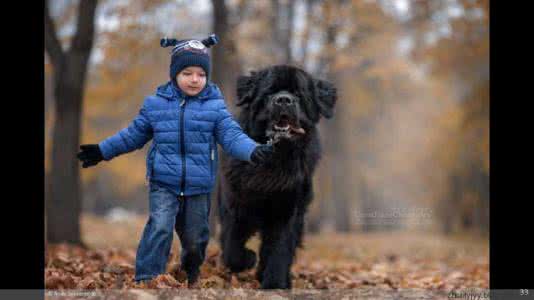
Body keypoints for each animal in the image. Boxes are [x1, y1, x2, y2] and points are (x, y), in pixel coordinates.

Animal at [217, 65, 336, 288]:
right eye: (270, 92)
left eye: (298, 94)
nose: (283, 100)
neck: (274, 156)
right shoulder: (235, 203)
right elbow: (232, 245)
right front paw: (247, 259)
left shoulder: (287, 208)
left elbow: (279, 247)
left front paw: (274, 282)